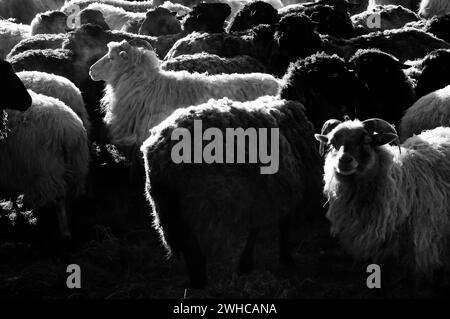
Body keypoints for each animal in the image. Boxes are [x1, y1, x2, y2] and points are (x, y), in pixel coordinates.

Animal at [141, 95, 324, 288]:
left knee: (183, 240)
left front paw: (246, 263)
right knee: (192, 244)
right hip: (201, 205)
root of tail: (162, 152)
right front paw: (284, 258)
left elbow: (257, 228)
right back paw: (200, 281)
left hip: (167, 209)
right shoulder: (284, 189)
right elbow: (280, 226)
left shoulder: (263, 194)